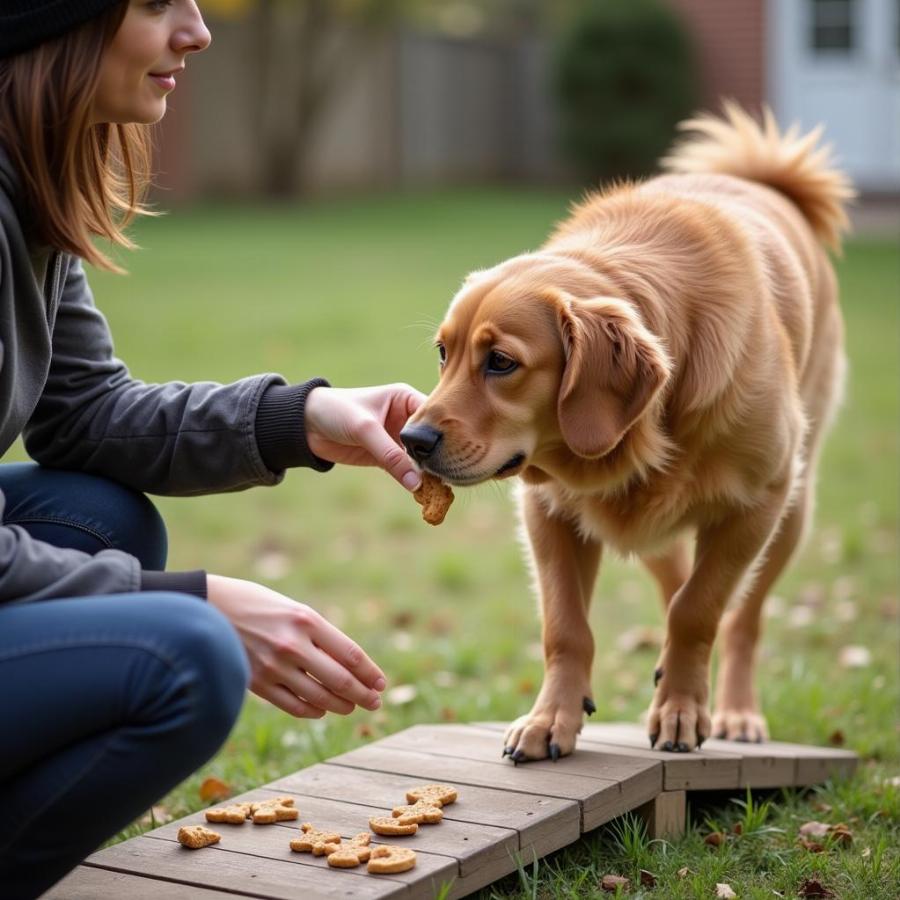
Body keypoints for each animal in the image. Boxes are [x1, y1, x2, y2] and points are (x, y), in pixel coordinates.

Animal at [400, 105, 852, 764]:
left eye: (501, 362)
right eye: (443, 353)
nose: (411, 439)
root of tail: (763, 178)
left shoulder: (754, 508)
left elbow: (700, 610)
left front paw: (683, 711)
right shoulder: (547, 512)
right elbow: (567, 627)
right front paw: (551, 719)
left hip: (792, 512)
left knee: (741, 618)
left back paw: (733, 711)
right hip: (659, 537)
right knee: (676, 586)